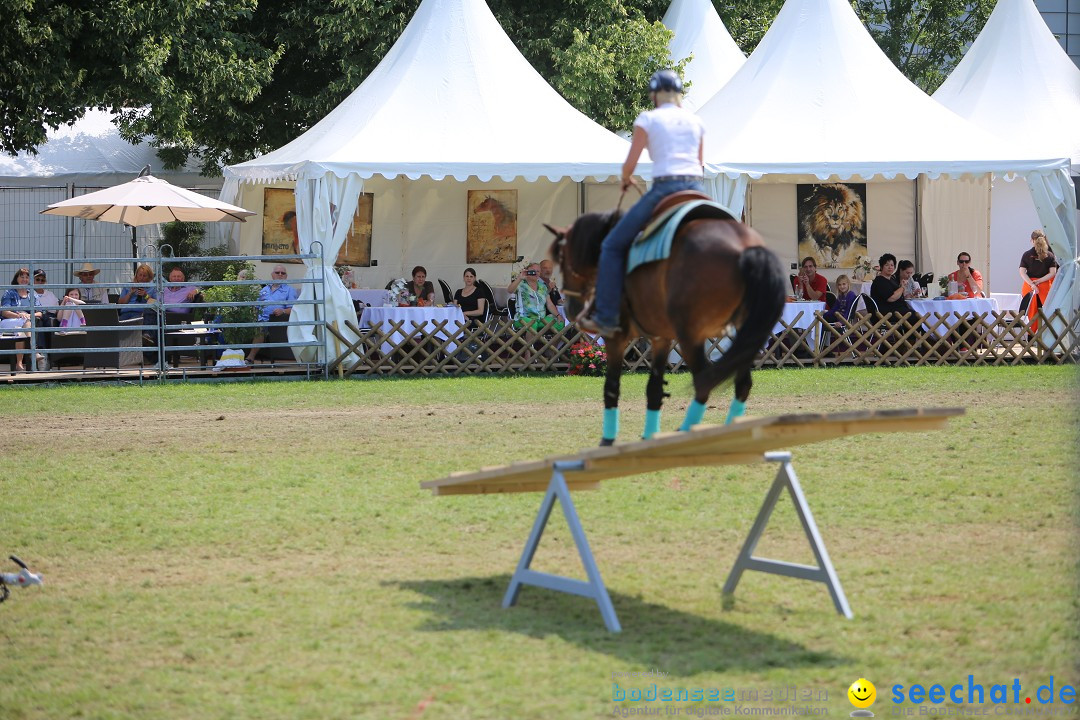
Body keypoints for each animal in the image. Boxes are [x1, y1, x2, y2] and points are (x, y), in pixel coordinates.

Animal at [548, 205, 786, 444]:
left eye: (562, 257)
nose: (572, 308)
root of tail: (745, 248)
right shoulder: (660, 339)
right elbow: (654, 389)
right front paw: (649, 435)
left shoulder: (615, 337)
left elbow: (611, 387)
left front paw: (608, 440)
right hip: (744, 336)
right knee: (741, 383)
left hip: (690, 338)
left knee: (704, 380)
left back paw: (688, 430)